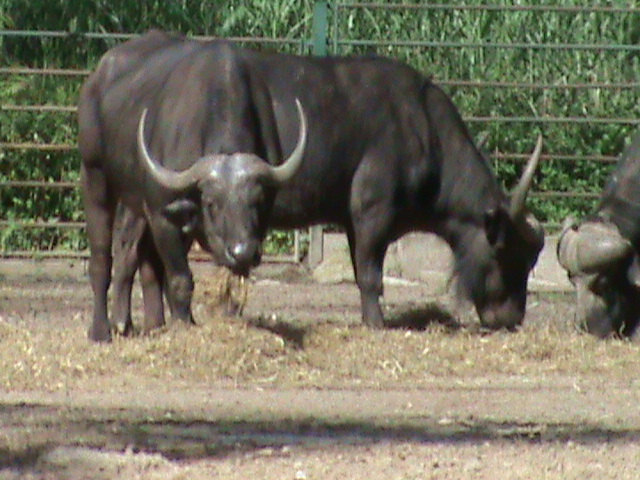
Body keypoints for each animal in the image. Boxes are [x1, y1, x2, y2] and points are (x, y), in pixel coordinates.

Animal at [79, 30, 544, 342]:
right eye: (509, 254)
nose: (511, 318)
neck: (421, 128)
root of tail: (103, 69)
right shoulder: (372, 211)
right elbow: (371, 275)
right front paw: (377, 325)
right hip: (97, 179)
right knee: (106, 255)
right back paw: (104, 328)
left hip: (134, 201)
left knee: (134, 256)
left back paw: (135, 323)